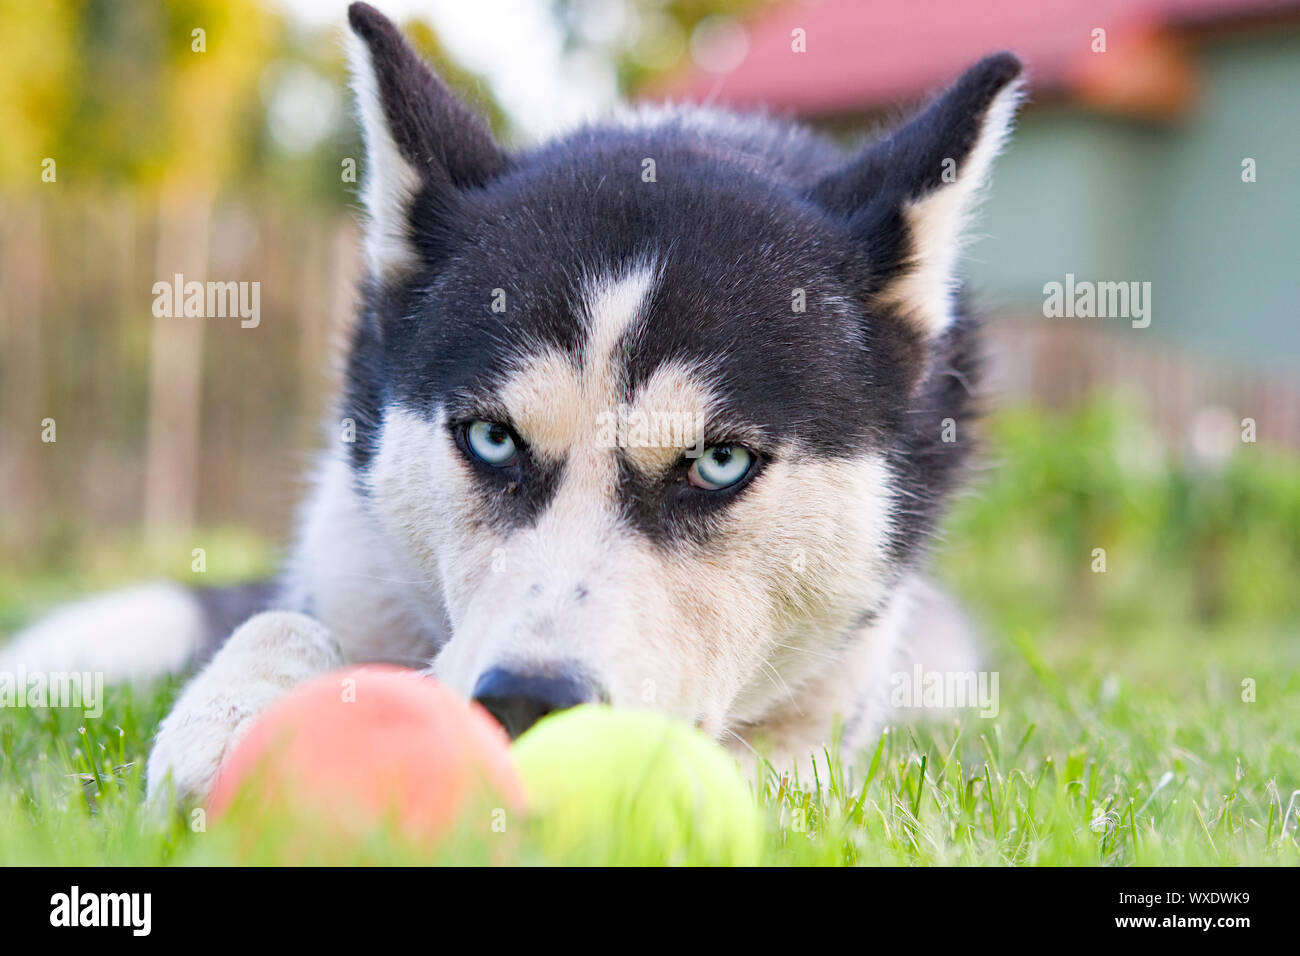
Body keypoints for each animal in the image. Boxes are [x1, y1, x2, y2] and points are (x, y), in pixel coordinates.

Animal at [2, 3, 1024, 806]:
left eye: (719, 463)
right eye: (492, 440)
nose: (530, 701)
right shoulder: (346, 551)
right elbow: (283, 618)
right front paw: (238, 715)